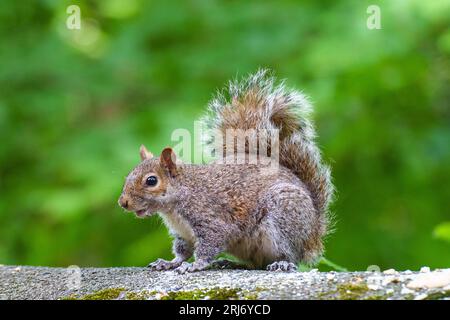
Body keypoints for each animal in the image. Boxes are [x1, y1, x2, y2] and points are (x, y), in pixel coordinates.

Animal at [118, 69, 332, 272]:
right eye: (128, 177)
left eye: (151, 181)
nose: (123, 203)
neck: (174, 206)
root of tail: (313, 233)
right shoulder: (182, 234)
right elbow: (182, 251)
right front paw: (169, 263)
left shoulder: (210, 220)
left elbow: (209, 245)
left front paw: (195, 265)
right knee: (256, 264)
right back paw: (231, 263)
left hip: (284, 219)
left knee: (289, 255)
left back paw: (282, 263)